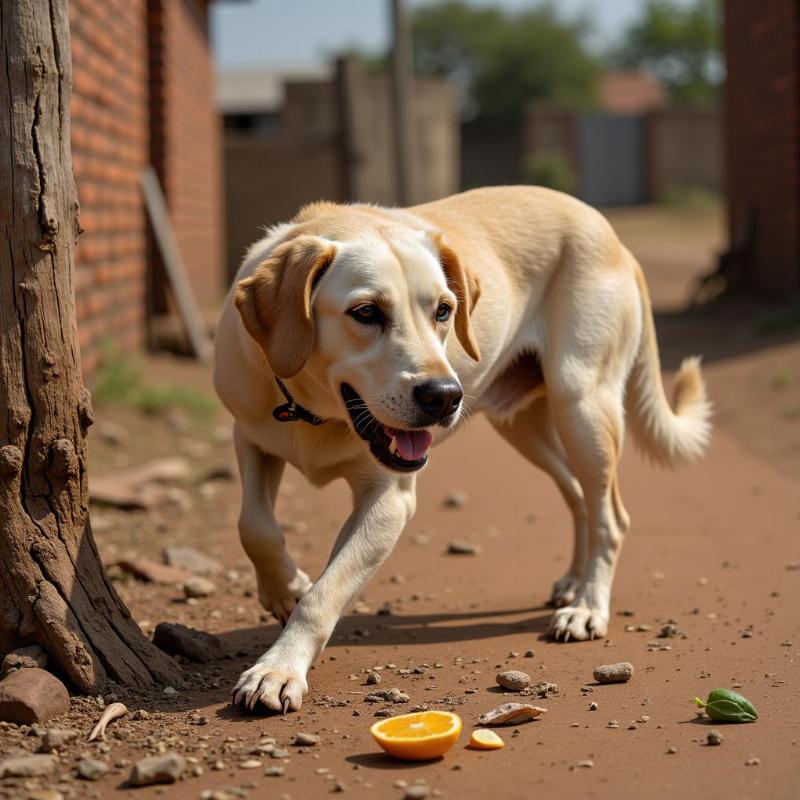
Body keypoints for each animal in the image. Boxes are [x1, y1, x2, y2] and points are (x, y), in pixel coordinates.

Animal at [214, 186, 712, 712]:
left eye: (443, 310)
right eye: (365, 312)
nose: (444, 396)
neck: (315, 412)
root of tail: (612, 236)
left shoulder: (389, 502)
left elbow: (323, 594)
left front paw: (277, 669)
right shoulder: (249, 435)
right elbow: (254, 525)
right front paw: (283, 589)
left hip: (583, 408)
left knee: (610, 516)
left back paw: (588, 608)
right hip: (526, 427)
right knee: (579, 497)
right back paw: (574, 583)